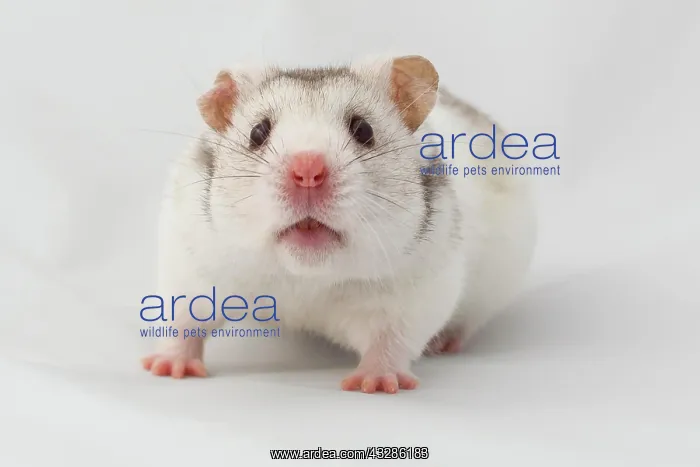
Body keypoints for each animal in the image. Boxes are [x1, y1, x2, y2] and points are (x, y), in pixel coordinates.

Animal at [141, 55, 537, 394]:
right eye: (258, 132)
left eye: (363, 130)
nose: (307, 171)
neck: (305, 279)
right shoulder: (190, 260)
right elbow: (184, 320)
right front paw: (166, 368)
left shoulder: (418, 291)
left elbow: (391, 341)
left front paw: (375, 383)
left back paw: (446, 342)